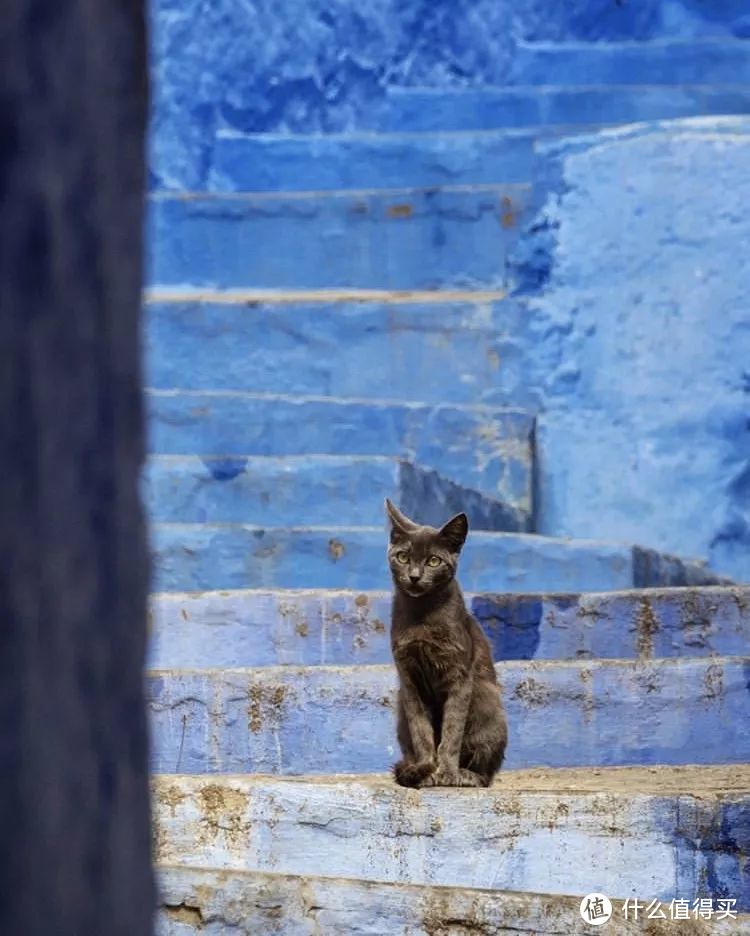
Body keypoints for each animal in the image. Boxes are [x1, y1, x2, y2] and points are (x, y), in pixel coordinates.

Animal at [388, 500, 506, 788]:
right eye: (403, 557)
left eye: (434, 561)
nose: (415, 576)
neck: (422, 615)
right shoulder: (409, 679)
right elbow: (421, 730)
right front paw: (426, 770)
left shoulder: (459, 675)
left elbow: (453, 728)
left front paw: (447, 773)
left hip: (486, 697)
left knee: (487, 772)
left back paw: (468, 775)